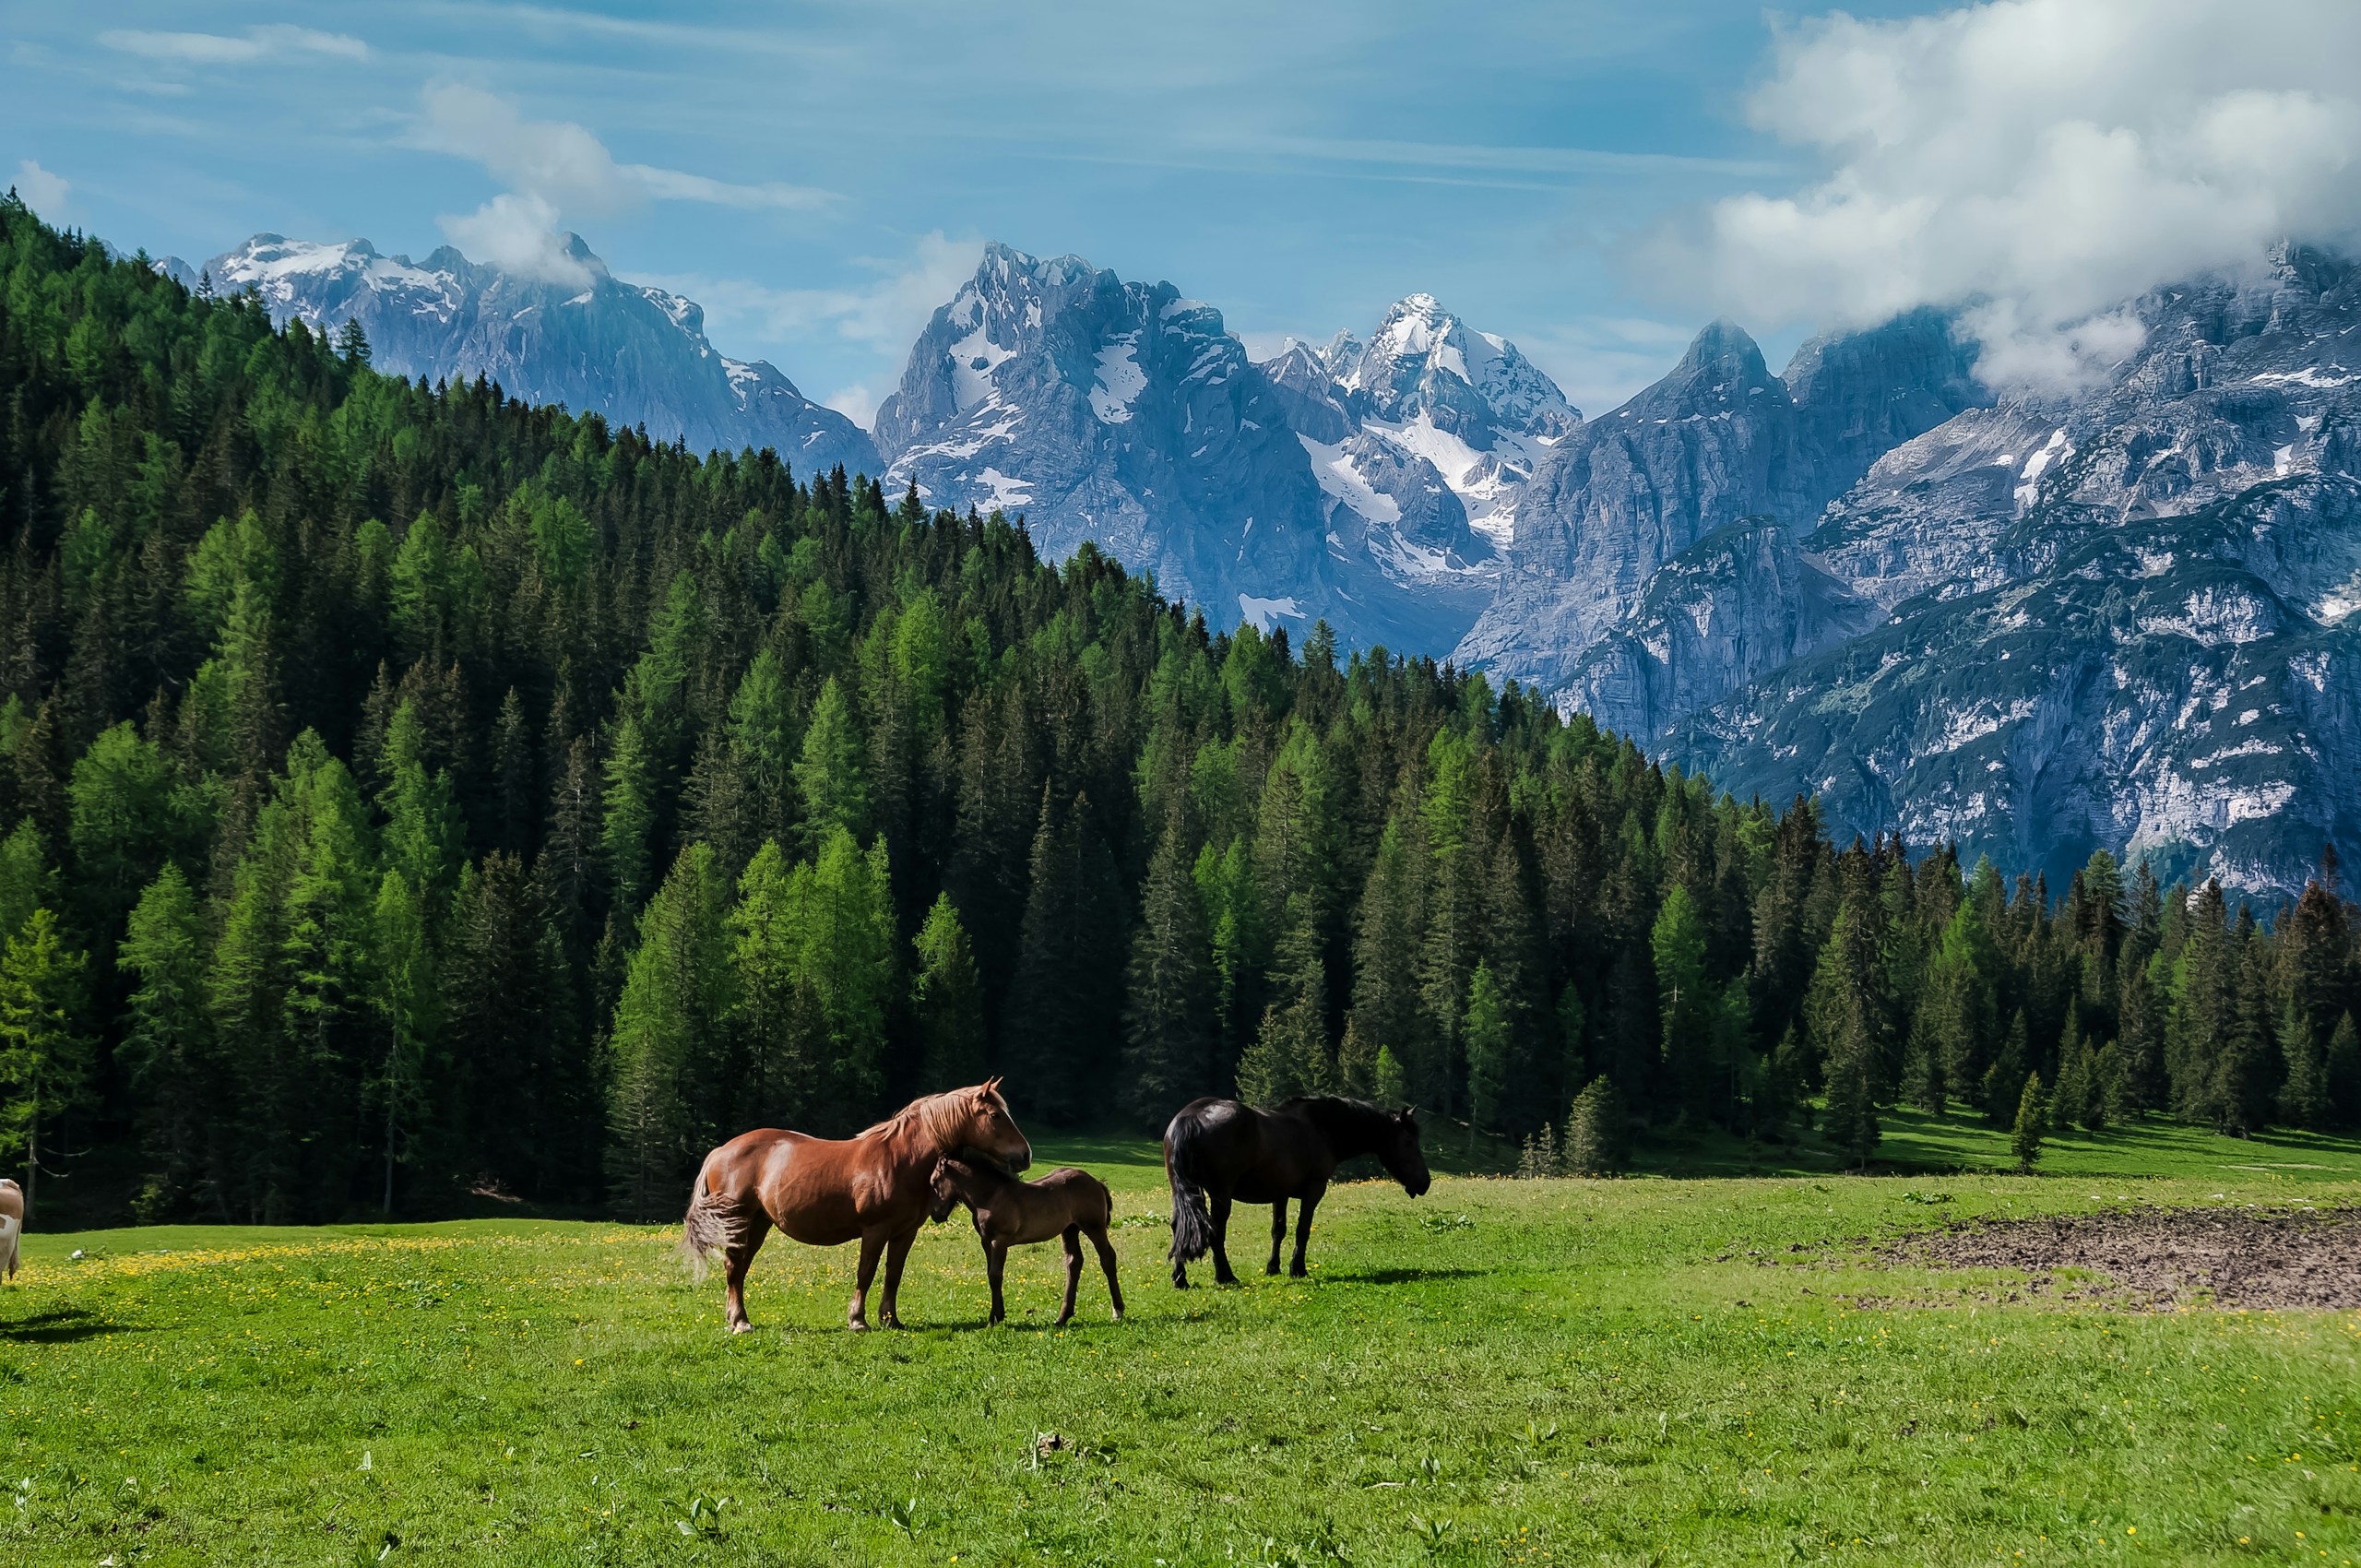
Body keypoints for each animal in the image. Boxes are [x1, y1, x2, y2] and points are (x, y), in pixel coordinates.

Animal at [680, 1080, 1032, 1333]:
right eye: (996, 1116)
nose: (1025, 1155)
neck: (900, 1159)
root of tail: (721, 1151)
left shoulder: (905, 1233)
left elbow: (893, 1274)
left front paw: (891, 1319)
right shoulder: (875, 1230)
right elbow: (866, 1272)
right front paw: (858, 1320)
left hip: (758, 1224)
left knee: (738, 1270)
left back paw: (737, 1318)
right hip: (738, 1222)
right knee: (733, 1269)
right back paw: (740, 1322)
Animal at [927, 1156, 1124, 1327]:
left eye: (934, 1182)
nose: (935, 1215)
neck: (990, 1196)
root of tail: (1096, 1182)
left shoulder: (999, 1241)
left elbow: (995, 1275)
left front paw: (993, 1319)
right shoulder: (986, 1241)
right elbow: (991, 1274)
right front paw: (999, 1315)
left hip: (1094, 1227)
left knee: (1107, 1258)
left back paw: (1118, 1311)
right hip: (1070, 1230)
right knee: (1074, 1262)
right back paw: (1062, 1318)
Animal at [1164, 1096, 1430, 1287]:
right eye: (1409, 1142)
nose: (1424, 1182)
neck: (1322, 1129)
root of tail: (1191, 1116)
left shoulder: (1279, 1194)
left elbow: (1278, 1230)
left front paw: (1273, 1267)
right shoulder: (1314, 1190)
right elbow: (1303, 1229)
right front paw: (1297, 1269)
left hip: (1182, 1191)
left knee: (1179, 1226)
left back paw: (1180, 1279)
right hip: (1221, 1193)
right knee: (1216, 1231)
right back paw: (1225, 1276)